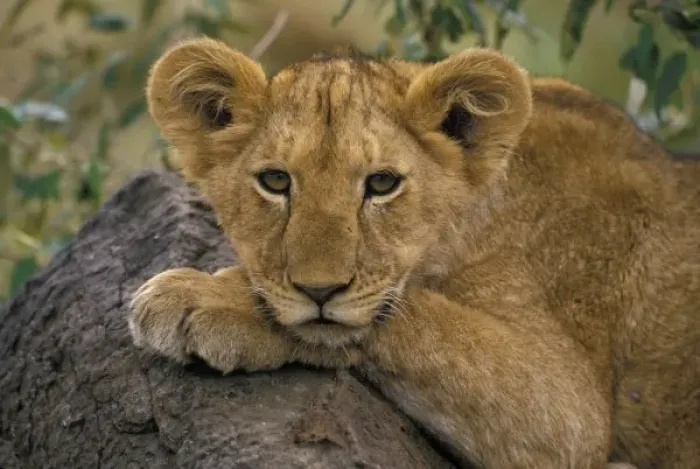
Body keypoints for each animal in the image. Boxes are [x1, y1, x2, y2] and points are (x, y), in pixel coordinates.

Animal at [128, 37, 700, 468]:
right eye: (275, 181)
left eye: (382, 184)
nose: (320, 290)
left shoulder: (569, 410)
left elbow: (421, 320)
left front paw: (205, 298)